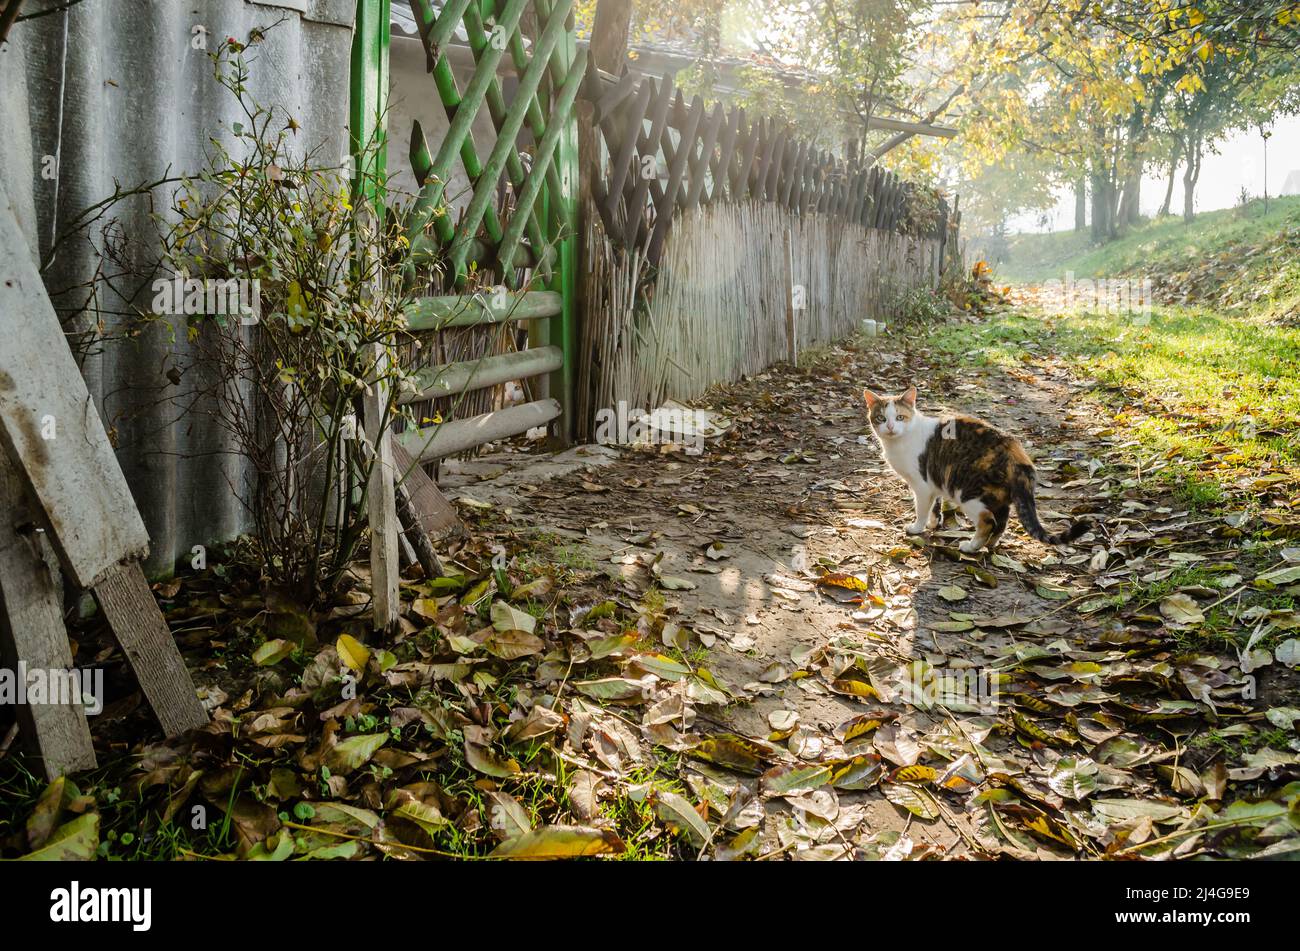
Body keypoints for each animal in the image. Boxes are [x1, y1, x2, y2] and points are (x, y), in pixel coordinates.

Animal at [863, 384, 1086, 553]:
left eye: (900, 417)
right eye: (881, 418)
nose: (890, 427)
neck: (900, 440)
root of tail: (1016, 451)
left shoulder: (921, 485)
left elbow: (922, 509)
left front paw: (917, 527)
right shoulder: (934, 481)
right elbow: (935, 506)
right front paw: (934, 524)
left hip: (969, 493)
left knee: (988, 522)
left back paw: (971, 547)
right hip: (996, 496)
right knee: (1002, 521)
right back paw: (990, 544)